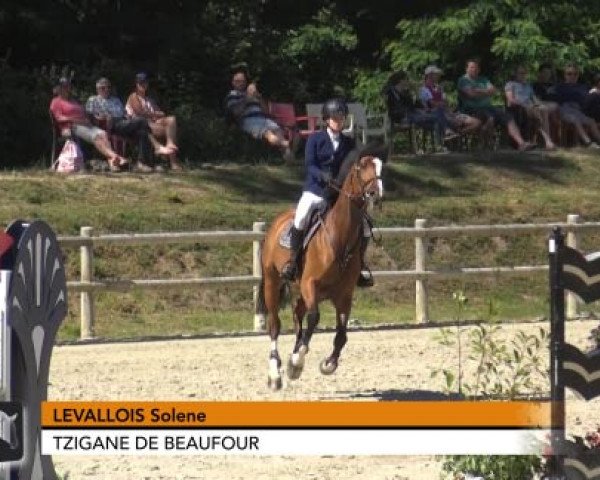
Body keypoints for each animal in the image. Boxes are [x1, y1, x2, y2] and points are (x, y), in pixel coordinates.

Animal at [255, 150, 382, 390]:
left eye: (381, 167)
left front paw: (327, 364)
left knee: (297, 312)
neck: (339, 237)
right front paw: (297, 362)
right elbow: (314, 318)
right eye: (360, 167)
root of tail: (277, 222)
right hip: (273, 282)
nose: (374, 193)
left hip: (309, 293)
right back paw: (275, 374)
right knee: (275, 325)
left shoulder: (344, 294)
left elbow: (341, 334)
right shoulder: (310, 284)